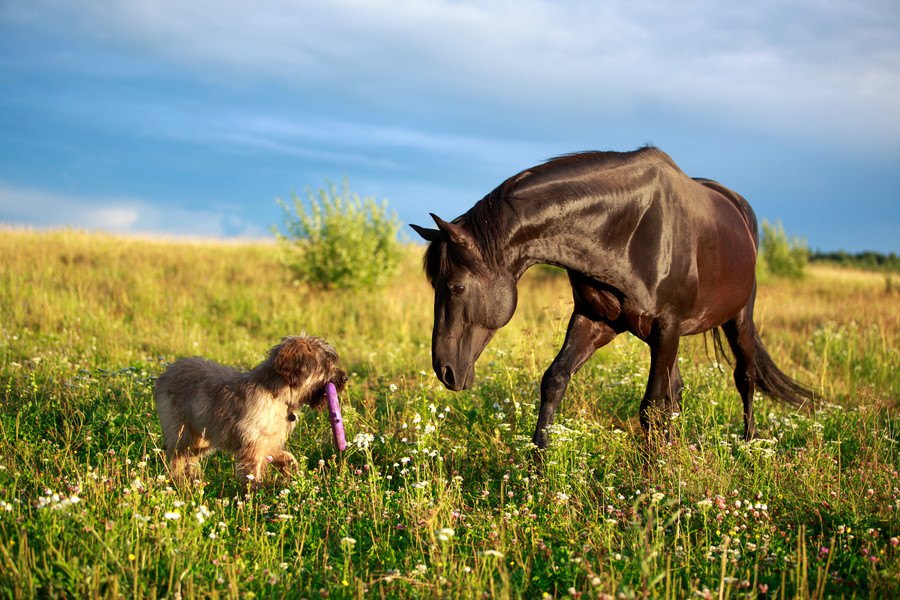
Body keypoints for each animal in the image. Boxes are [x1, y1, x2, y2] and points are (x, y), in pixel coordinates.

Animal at [155, 336, 344, 486]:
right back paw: (179, 480)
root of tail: (166, 372)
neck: (275, 393)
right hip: (183, 432)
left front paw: (290, 469)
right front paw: (255, 494)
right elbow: (253, 470)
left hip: (200, 439)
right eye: (327, 365)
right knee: (178, 457)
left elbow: (283, 455)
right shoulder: (253, 443)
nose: (345, 378)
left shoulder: (268, 441)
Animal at [412, 145, 820, 448]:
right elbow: (554, 381)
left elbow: (651, 407)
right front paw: (538, 471)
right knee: (677, 390)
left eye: (457, 287)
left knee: (744, 377)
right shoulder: (595, 321)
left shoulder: (666, 326)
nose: (444, 369)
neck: (628, 228)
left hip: (738, 319)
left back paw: (748, 444)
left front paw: (652, 481)